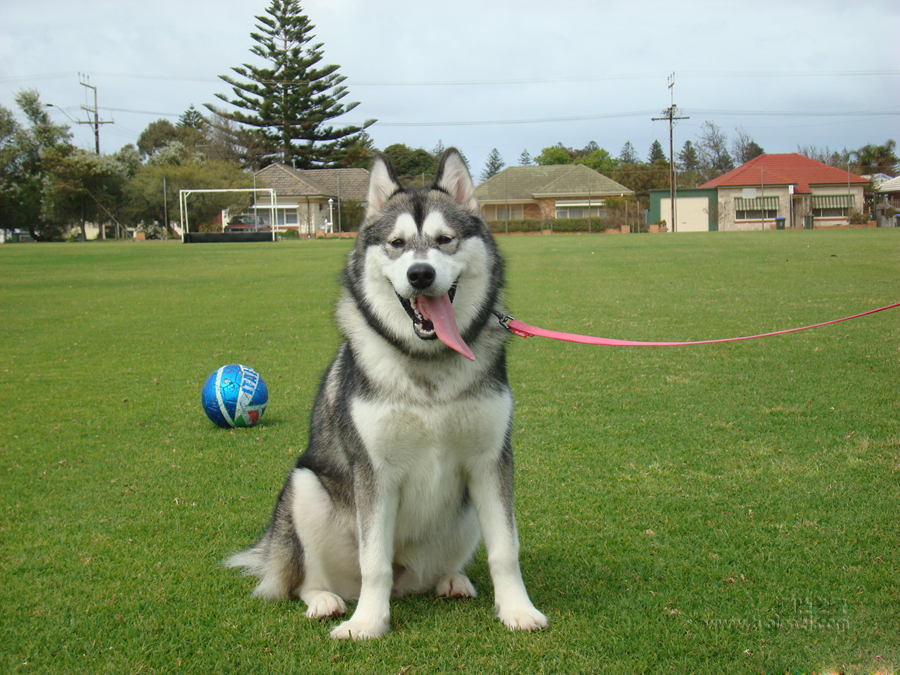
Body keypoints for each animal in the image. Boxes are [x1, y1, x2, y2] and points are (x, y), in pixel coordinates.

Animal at [225, 148, 548, 640]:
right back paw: (324, 599)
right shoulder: (375, 470)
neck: (428, 363)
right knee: (306, 579)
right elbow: (372, 560)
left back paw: (452, 579)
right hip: (304, 487)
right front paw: (368, 623)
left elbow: (505, 550)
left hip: (463, 514)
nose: (421, 274)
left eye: (445, 240)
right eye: (396, 243)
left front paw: (516, 609)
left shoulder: (491, 461)